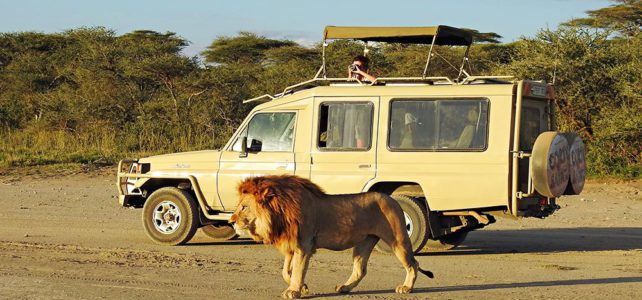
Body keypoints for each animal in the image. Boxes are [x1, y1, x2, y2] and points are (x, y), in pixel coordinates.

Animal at [228, 175, 432, 298]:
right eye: (239, 206)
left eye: (244, 207)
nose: (231, 222)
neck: (280, 213)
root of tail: (392, 198)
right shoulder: (291, 246)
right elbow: (286, 271)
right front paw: (302, 287)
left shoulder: (304, 246)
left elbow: (297, 270)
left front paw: (294, 290)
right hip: (364, 243)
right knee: (360, 270)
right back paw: (344, 287)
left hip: (397, 240)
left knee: (413, 264)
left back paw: (406, 288)